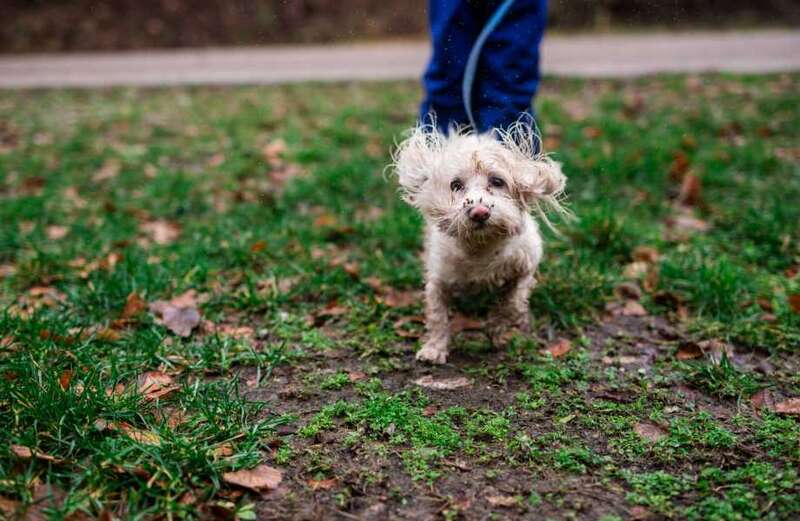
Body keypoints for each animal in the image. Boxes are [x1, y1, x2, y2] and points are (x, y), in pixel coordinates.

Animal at [394, 122, 568, 364]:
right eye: (455, 185)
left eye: (497, 181)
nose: (479, 212)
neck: (482, 249)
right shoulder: (438, 279)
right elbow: (437, 316)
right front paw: (434, 349)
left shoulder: (525, 268)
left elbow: (512, 304)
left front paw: (495, 328)